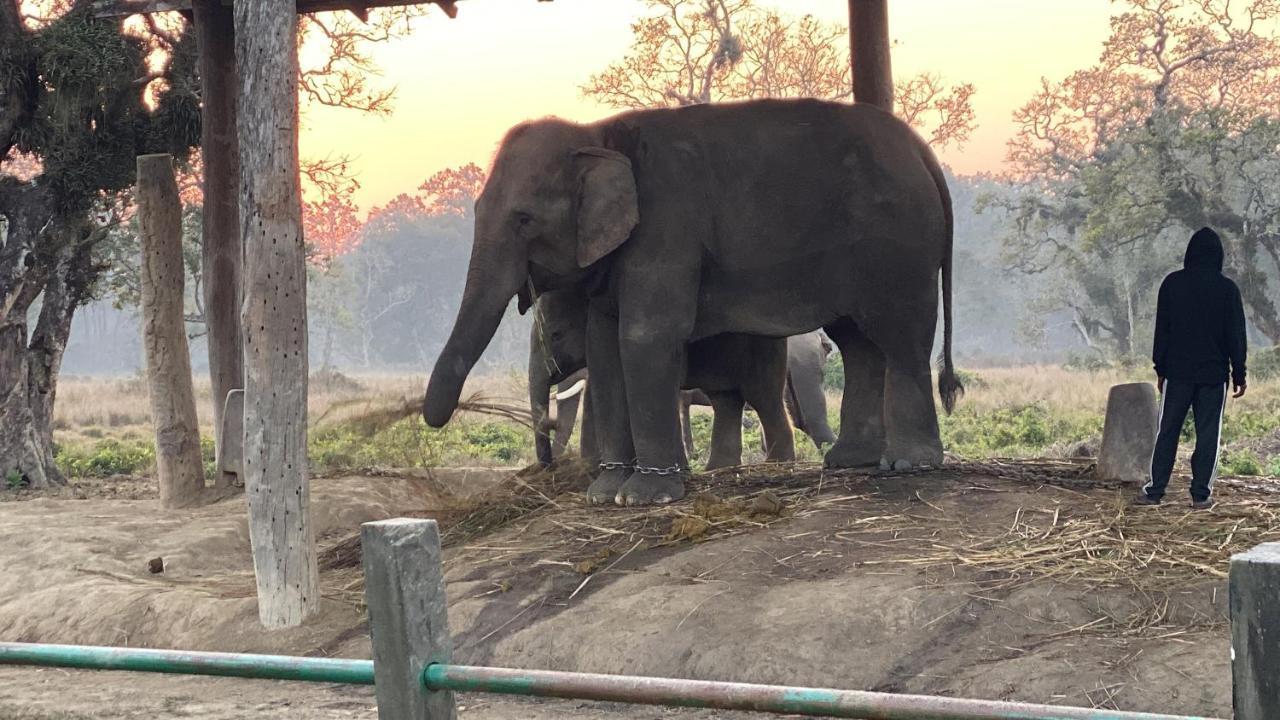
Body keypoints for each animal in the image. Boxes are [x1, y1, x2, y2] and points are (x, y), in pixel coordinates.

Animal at [424, 98, 957, 507]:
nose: (433, 419)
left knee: (899, 335)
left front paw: (643, 497)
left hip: (898, 242)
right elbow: (604, 347)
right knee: (857, 341)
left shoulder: (667, 228)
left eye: (524, 220)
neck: (597, 134)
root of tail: (923, 152)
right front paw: (605, 494)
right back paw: (849, 461)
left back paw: (908, 463)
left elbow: (644, 336)